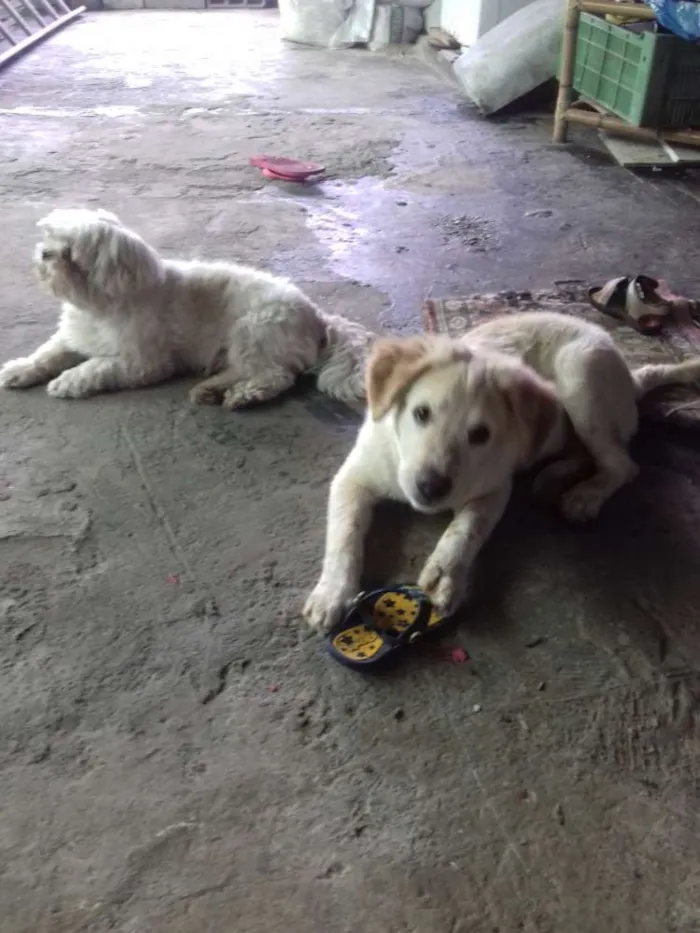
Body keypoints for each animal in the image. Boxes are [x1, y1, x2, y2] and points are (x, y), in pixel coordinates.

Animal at [0, 209, 372, 406]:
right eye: (49, 237)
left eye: (71, 253)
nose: (45, 254)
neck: (98, 306)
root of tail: (318, 317)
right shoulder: (73, 336)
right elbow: (46, 354)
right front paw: (20, 369)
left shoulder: (143, 362)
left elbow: (97, 366)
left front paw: (68, 380)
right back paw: (211, 389)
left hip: (253, 331)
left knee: (275, 375)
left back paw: (245, 395)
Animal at [306, 310, 700, 628]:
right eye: (420, 413)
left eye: (481, 435)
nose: (430, 487)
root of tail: (629, 376)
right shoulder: (352, 477)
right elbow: (344, 534)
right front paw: (332, 593)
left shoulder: (494, 488)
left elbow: (466, 528)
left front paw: (446, 574)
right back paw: (552, 477)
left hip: (580, 380)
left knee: (622, 464)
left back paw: (586, 494)